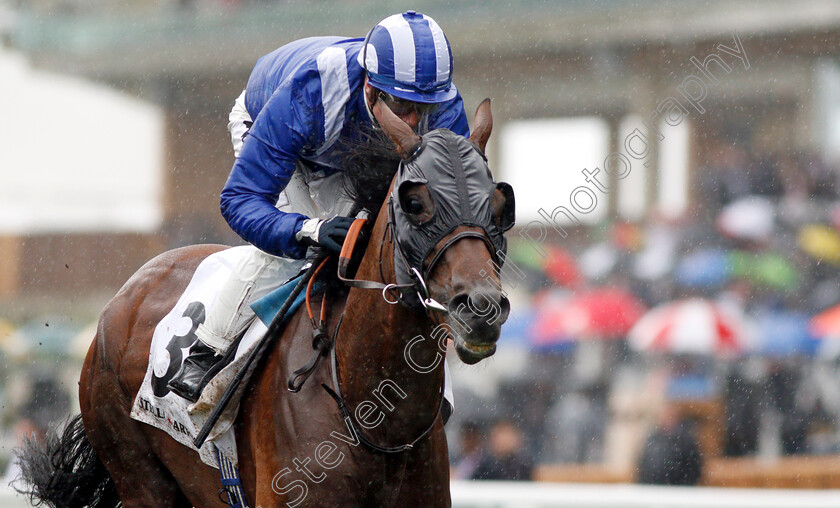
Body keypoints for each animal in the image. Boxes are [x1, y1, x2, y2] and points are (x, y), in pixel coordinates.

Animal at [18, 99, 512, 508]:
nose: (482, 307)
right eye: (414, 202)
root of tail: (127, 292)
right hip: (138, 476)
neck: (375, 420)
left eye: (499, 203)